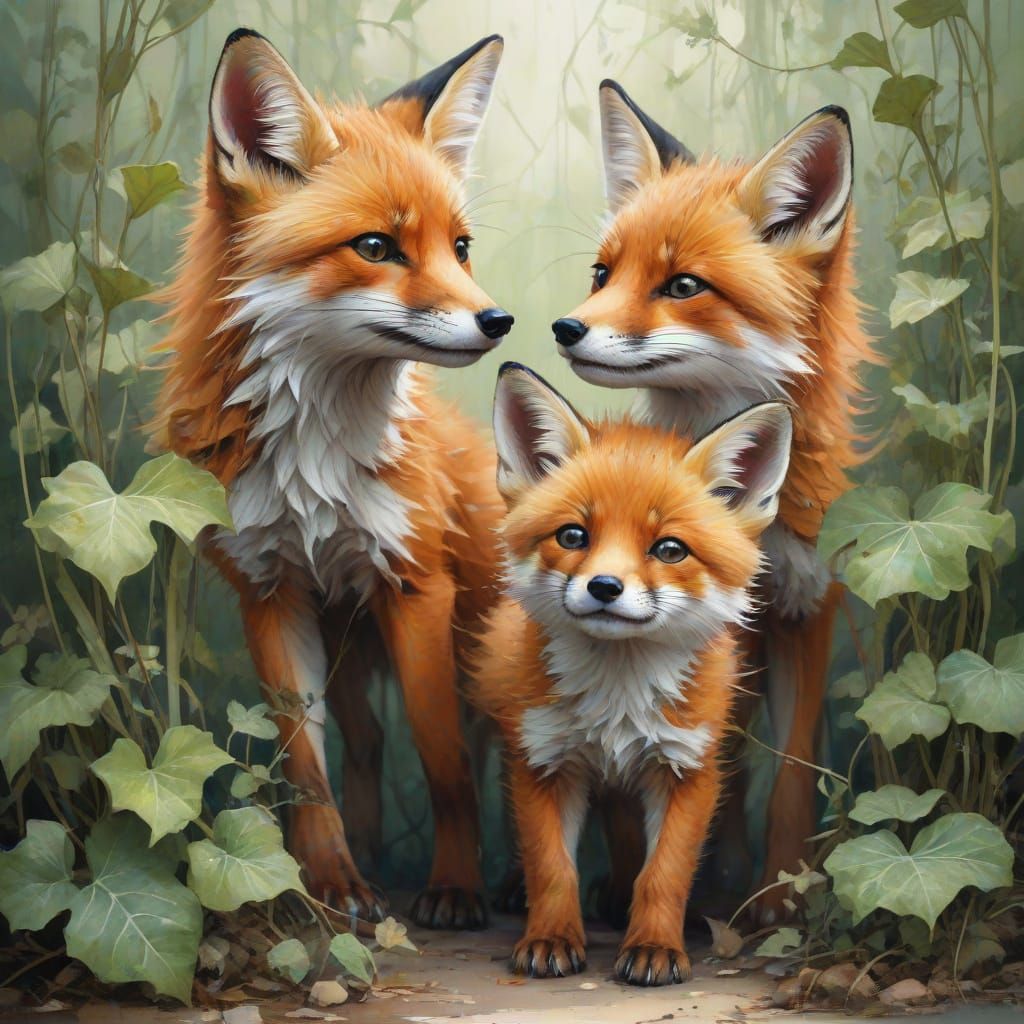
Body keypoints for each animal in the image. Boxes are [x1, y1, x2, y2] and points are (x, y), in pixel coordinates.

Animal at [151, 29, 512, 929]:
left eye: (460, 247)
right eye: (377, 247)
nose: (499, 321)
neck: (314, 464)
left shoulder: (417, 584)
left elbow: (446, 762)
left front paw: (456, 887)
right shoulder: (271, 590)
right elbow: (307, 771)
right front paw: (328, 884)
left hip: (472, 637)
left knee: (492, 743)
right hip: (347, 640)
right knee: (369, 748)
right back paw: (373, 860)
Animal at [472, 363, 792, 985]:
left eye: (669, 549)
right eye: (573, 536)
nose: (604, 587)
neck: (617, 700)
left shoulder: (688, 767)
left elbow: (663, 873)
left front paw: (654, 946)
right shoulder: (544, 762)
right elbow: (552, 867)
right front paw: (550, 938)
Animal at [551, 82, 874, 922]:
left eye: (683, 285)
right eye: (602, 273)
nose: (565, 327)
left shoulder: (803, 612)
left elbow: (789, 774)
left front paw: (780, 896)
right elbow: (629, 783)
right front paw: (635, 890)